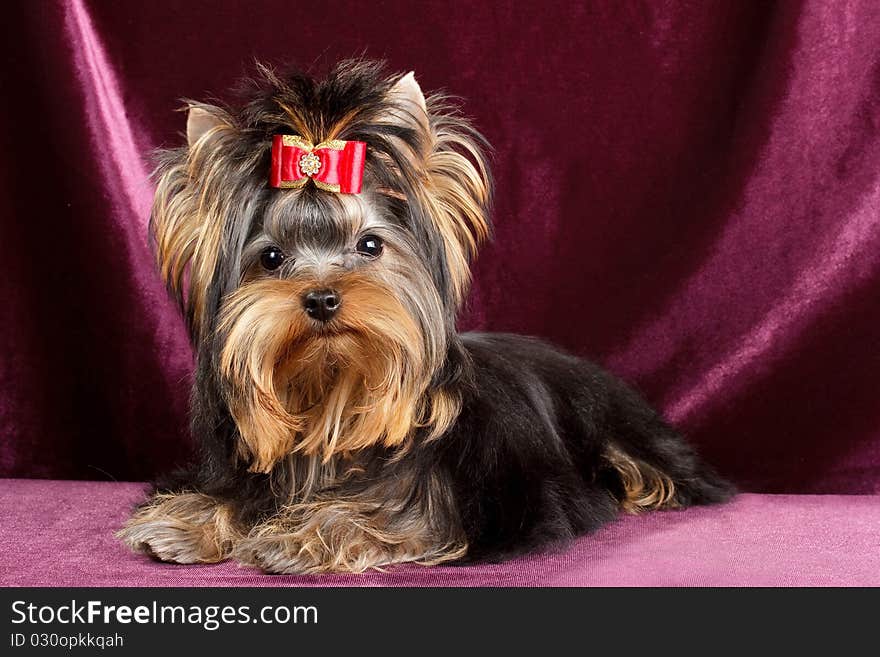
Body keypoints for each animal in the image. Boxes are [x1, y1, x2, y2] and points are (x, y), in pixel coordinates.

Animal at [118, 61, 736, 576]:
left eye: (370, 245)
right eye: (270, 258)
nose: (321, 299)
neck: (331, 397)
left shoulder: (446, 511)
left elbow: (387, 519)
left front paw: (300, 535)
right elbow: (229, 497)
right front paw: (186, 521)